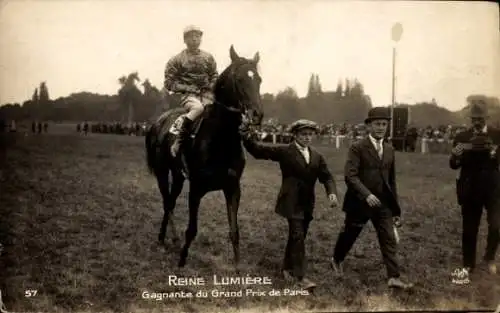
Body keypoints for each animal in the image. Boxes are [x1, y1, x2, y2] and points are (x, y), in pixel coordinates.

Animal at [145, 45, 264, 266]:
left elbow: (234, 231)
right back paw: (162, 238)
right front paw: (182, 261)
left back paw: (170, 238)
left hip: (178, 176)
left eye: (258, 79)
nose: (257, 114)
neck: (221, 140)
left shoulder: (233, 188)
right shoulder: (197, 188)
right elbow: (192, 229)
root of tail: (158, 122)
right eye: (240, 79)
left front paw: (237, 266)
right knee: (167, 203)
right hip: (161, 172)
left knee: (170, 201)